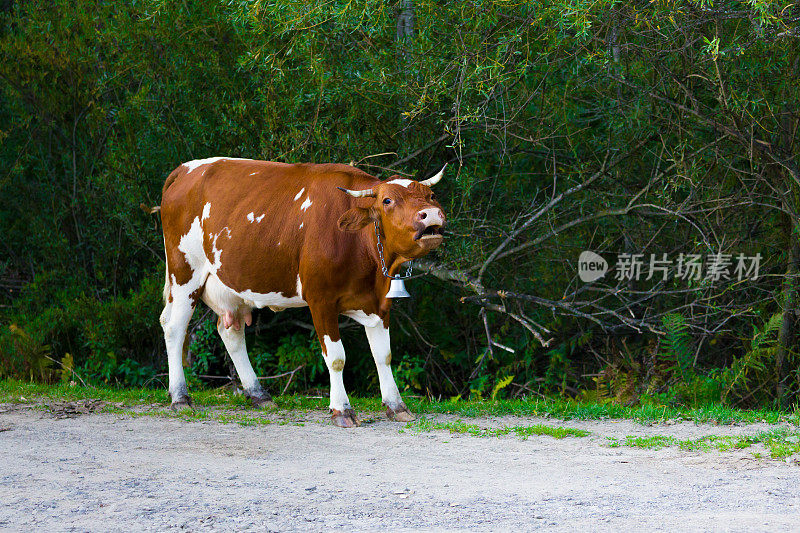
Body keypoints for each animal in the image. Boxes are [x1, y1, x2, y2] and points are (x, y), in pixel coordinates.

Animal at [156, 156, 444, 426]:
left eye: (430, 196)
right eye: (387, 200)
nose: (431, 213)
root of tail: (186, 169)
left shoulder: (379, 302)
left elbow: (384, 355)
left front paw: (397, 406)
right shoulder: (321, 300)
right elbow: (336, 358)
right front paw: (342, 410)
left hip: (232, 283)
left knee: (231, 332)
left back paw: (258, 394)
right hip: (185, 272)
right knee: (174, 328)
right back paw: (180, 397)